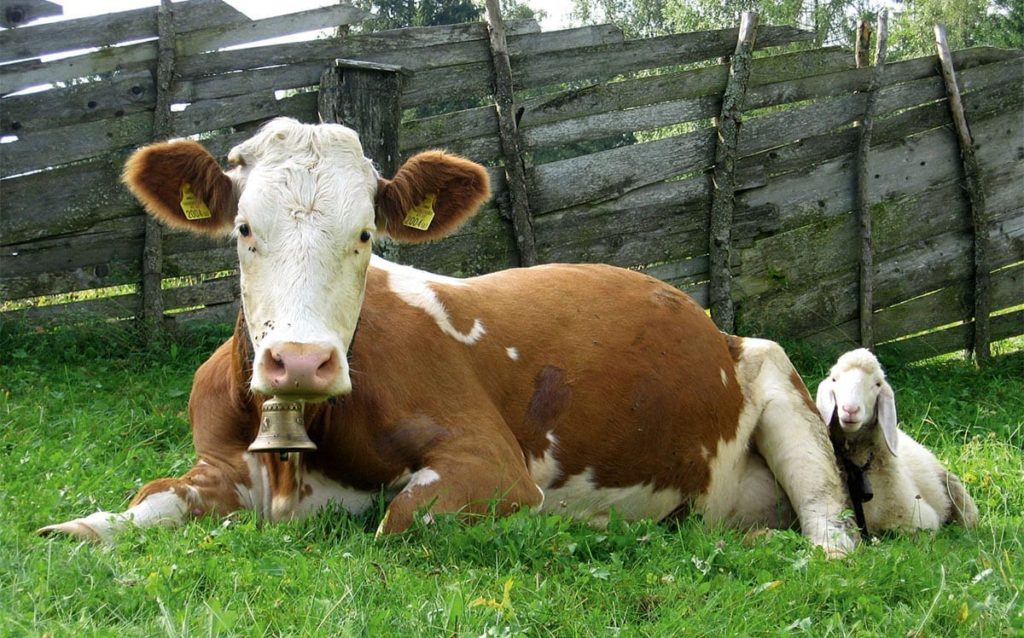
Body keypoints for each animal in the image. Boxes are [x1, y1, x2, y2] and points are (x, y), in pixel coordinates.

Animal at [39, 117, 856, 557]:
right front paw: (80, 525)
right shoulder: (217, 463)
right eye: (243, 229)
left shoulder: (492, 464)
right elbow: (150, 502)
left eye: (366, 234)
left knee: (830, 520)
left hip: (780, 378)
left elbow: (401, 517)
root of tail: (713, 326)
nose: (300, 360)